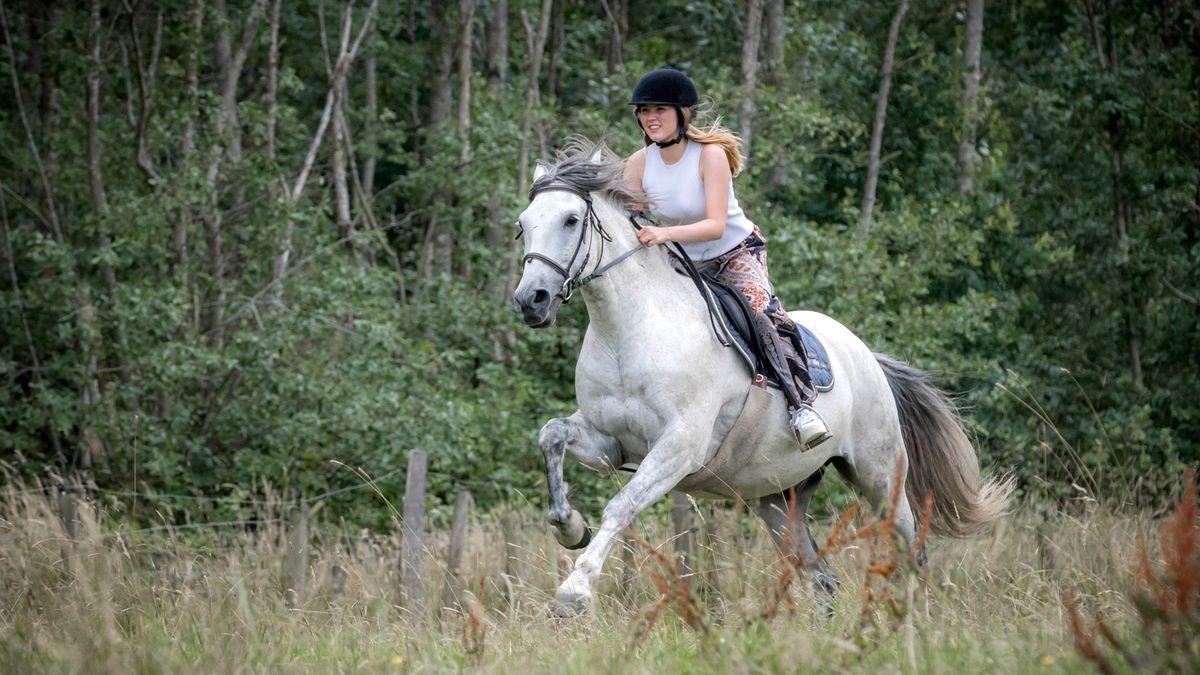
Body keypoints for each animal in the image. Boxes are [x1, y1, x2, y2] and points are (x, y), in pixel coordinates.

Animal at [511, 142, 1008, 614]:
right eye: (524, 224)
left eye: (571, 219)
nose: (530, 301)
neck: (628, 330)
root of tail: (865, 353)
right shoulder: (611, 444)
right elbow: (551, 435)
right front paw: (570, 527)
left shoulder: (678, 447)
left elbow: (622, 505)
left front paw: (574, 591)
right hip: (778, 496)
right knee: (821, 578)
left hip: (880, 475)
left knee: (912, 549)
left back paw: (916, 624)